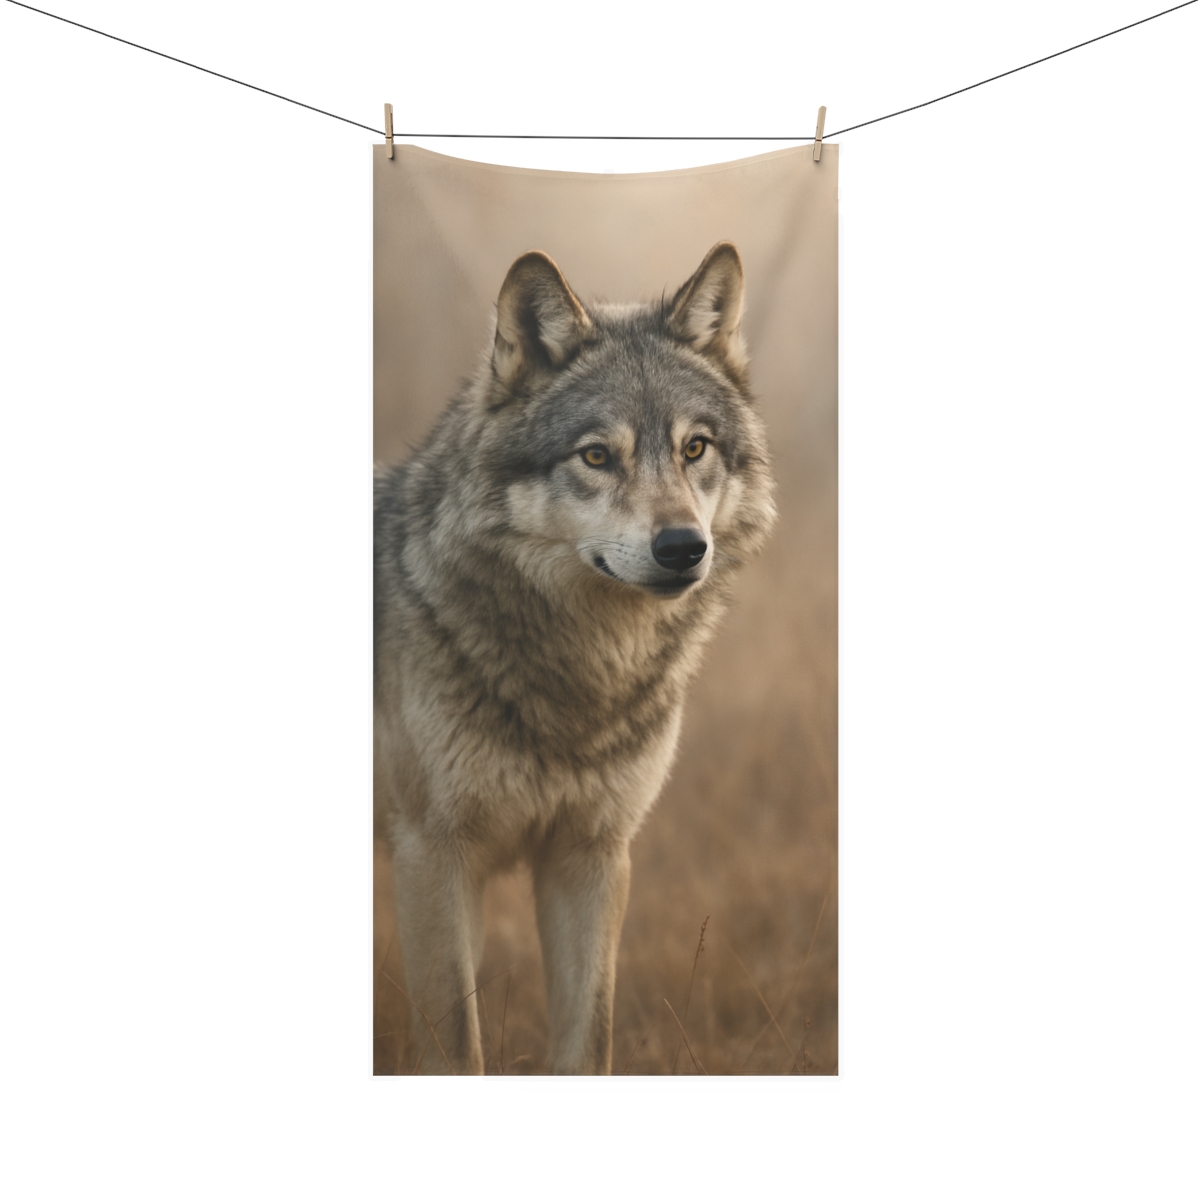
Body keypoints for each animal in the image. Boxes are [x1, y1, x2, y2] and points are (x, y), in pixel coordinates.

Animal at [374, 242, 776, 1073]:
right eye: (597, 456)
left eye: (695, 447)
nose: (683, 547)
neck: (581, 686)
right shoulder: (430, 854)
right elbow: (457, 1051)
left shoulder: (590, 854)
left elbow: (589, 1043)